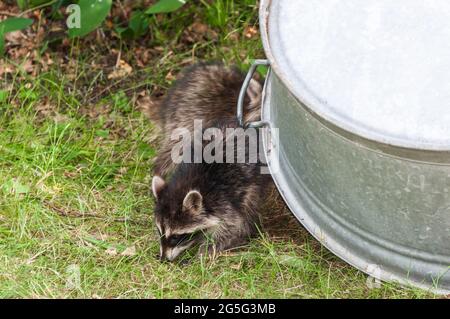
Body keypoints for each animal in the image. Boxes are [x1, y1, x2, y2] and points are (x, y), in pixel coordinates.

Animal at [151, 120, 270, 262]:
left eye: (175, 236)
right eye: (159, 231)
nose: (163, 259)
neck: (185, 185)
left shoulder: (222, 201)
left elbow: (230, 226)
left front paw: (206, 251)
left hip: (252, 183)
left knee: (248, 207)